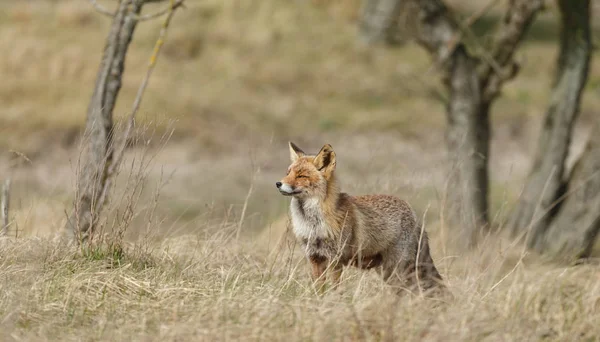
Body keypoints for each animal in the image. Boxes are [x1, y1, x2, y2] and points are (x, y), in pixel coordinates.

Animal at [276, 142, 440, 294]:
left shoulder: (336, 260)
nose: (278, 183)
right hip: (387, 272)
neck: (314, 225)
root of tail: (413, 213)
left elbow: (335, 288)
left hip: (398, 269)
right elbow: (319, 290)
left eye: (301, 176)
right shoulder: (315, 258)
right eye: (288, 173)